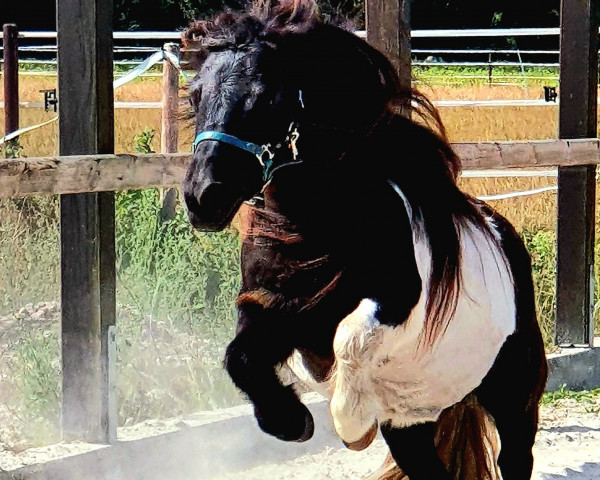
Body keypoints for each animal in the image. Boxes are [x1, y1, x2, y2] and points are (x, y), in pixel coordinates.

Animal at [182, 1, 548, 478]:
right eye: (195, 95)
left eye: (266, 97)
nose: (203, 195)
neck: (317, 234)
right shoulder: (273, 308)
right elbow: (239, 356)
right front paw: (290, 421)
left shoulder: (395, 299)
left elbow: (351, 337)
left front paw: (351, 425)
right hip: (413, 429)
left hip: (513, 394)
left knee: (515, 455)